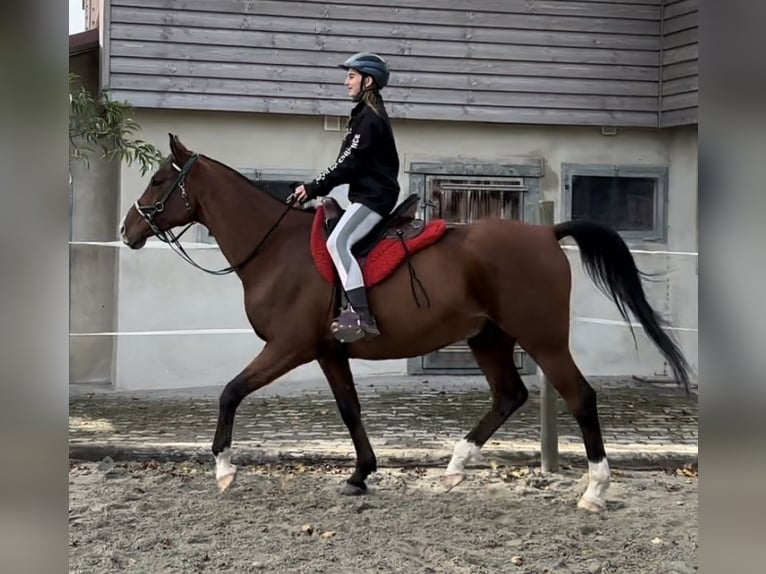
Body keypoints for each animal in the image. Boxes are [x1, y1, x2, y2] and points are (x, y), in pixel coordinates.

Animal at [121, 136, 696, 516]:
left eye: (157, 179)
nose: (128, 230)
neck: (276, 249)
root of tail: (546, 232)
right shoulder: (328, 352)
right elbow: (350, 410)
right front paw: (360, 474)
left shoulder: (289, 347)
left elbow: (230, 392)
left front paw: (223, 468)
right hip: (489, 338)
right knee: (509, 395)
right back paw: (457, 465)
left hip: (543, 339)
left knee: (579, 397)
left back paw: (594, 490)